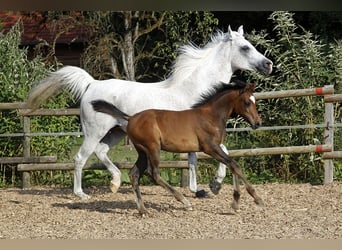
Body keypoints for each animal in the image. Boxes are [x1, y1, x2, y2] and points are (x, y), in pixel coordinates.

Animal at [24, 25, 272, 199]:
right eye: (245, 47)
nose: (268, 64)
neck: (198, 91)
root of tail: (92, 84)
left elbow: (196, 159)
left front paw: (200, 189)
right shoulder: (201, 136)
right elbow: (219, 153)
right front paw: (214, 185)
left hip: (116, 132)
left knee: (101, 152)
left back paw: (115, 183)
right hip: (94, 131)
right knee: (80, 157)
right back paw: (81, 194)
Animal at [91, 81, 264, 214]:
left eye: (254, 101)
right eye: (247, 102)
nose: (258, 123)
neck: (211, 117)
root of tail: (131, 117)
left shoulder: (216, 148)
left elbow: (233, 165)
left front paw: (235, 202)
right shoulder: (210, 148)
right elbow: (234, 164)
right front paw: (256, 198)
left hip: (142, 151)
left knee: (134, 174)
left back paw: (143, 210)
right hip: (153, 148)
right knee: (153, 173)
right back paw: (184, 201)